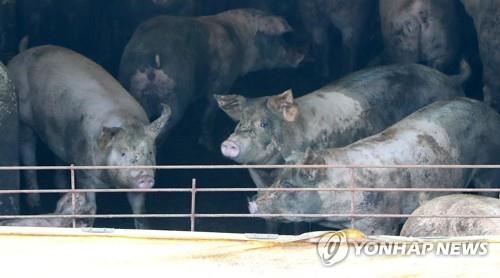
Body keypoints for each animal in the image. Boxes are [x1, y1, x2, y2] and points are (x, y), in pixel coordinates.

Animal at [7, 45, 171, 228]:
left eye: (149, 152)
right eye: (123, 153)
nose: (145, 177)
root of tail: (22, 54)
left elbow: (140, 210)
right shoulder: (85, 173)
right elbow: (92, 207)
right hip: (23, 120)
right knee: (27, 150)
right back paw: (35, 203)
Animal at [120, 8, 304, 148]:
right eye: (280, 39)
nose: (301, 55)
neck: (241, 43)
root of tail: (151, 55)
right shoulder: (222, 81)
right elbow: (210, 112)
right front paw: (208, 145)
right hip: (176, 93)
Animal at [250, 97, 500, 235]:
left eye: (288, 184)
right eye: (276, 179)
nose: (252, 202)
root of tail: (486, 108)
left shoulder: (378, 220)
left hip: (489, 167)